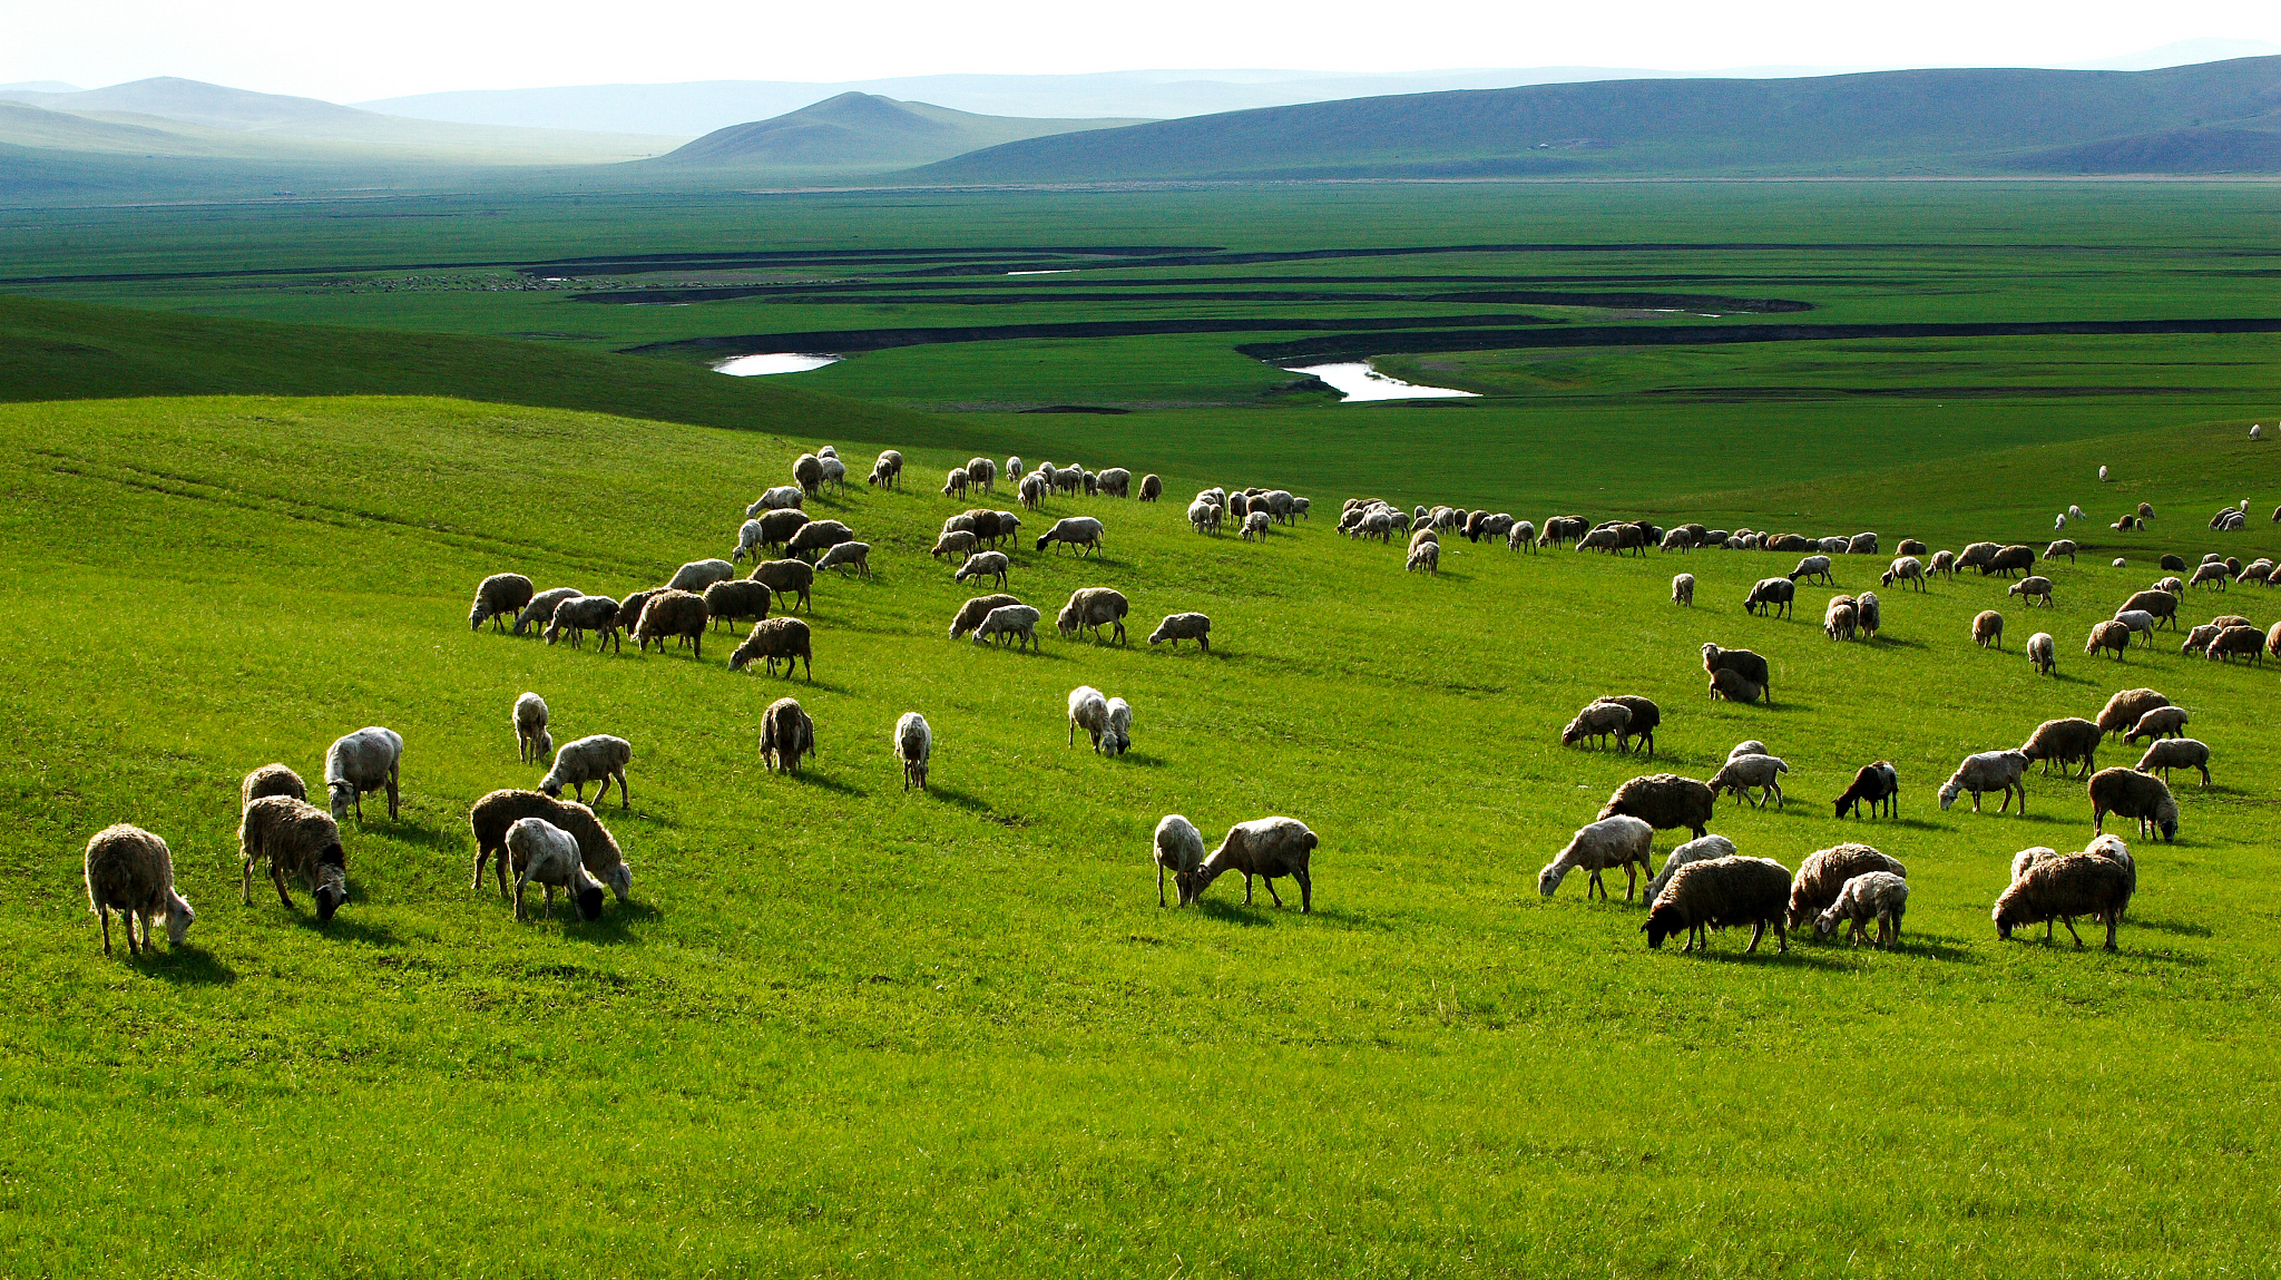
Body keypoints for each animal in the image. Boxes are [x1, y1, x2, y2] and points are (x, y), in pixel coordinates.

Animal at [83, 821, 195, 953]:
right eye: (188, 922)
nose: (176, 944)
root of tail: (109, 857)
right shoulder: (149, 895)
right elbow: (144, 918)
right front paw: (145, 943)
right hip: (131, 889)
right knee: (127, 917)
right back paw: (133, 947)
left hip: (97, 890)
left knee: (104, 918)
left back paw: (107, 948)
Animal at [463, 789, 629, 898]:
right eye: (622, 880)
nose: (623, 900)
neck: (592, 842)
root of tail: (477, 808)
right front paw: (566, 892)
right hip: (490, 839)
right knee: (480, 861)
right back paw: (477, 885)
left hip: (501, 844)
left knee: (498, 867)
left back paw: (504, 892)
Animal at [1532, 812, 1660, 903]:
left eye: (1547, 879)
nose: (1543, 895)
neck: (1578, 851)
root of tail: (1647, 826)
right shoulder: (1594, 863)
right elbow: (1595, 879)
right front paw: (1596, 896)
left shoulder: (1598, 861)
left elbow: (1595, 879)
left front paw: (1598, 896)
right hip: (1628, 857)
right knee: (1632, 874)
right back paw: (1628, 897)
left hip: (1644, 852)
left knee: (1650, 874)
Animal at [1651, 853, 1788, 953]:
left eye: (1659, 925)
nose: (1652, 946)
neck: (1680, 893)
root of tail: (1785, 872)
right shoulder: (1701, 910)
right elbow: (1700, 928)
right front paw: (1701, 945)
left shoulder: (1698, 909)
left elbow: (1693, 929)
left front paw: (1688, 946)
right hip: (1760, 910)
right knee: (1760, 928)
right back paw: (1751, 949)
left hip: (1773, 909)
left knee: (1779, 928)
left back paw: (1782, 949)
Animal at [1998, 848, 2135, 949]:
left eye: (2001, 920)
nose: (2001, 938)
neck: (2026, 894)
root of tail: (2122, 875)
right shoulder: (2057, 906)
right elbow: (2057, 923)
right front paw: (2054, 937)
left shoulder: (2055, 905)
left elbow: (2062, 924)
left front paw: (2055, 938)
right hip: (2108, 904)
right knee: (2111, 924)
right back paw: (2111, 944)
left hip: (2106, 902)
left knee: (2111, 924)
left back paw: (2109, 945)